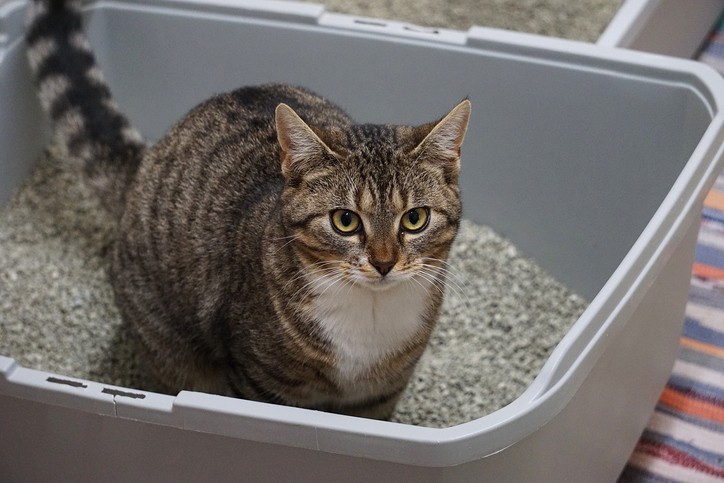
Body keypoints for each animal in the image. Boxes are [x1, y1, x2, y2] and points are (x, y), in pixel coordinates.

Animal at [25, 0, 472, 418]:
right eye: (345, 221)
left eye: (415, 219)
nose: (383, 262)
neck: (369, 319)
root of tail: (145, 164)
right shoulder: (260, 381)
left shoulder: (381, 395)